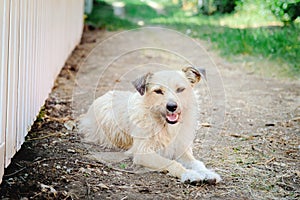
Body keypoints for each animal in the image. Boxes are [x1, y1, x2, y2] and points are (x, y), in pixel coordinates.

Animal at [78, 66, 221, 184]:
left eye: (180, 89)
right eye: (158, 91)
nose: (172, 107)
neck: (166, 126)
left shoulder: (181, 149)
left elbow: (197, 163)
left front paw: (207, 173)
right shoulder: (143, 153)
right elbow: (171, 163)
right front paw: (189, 174)